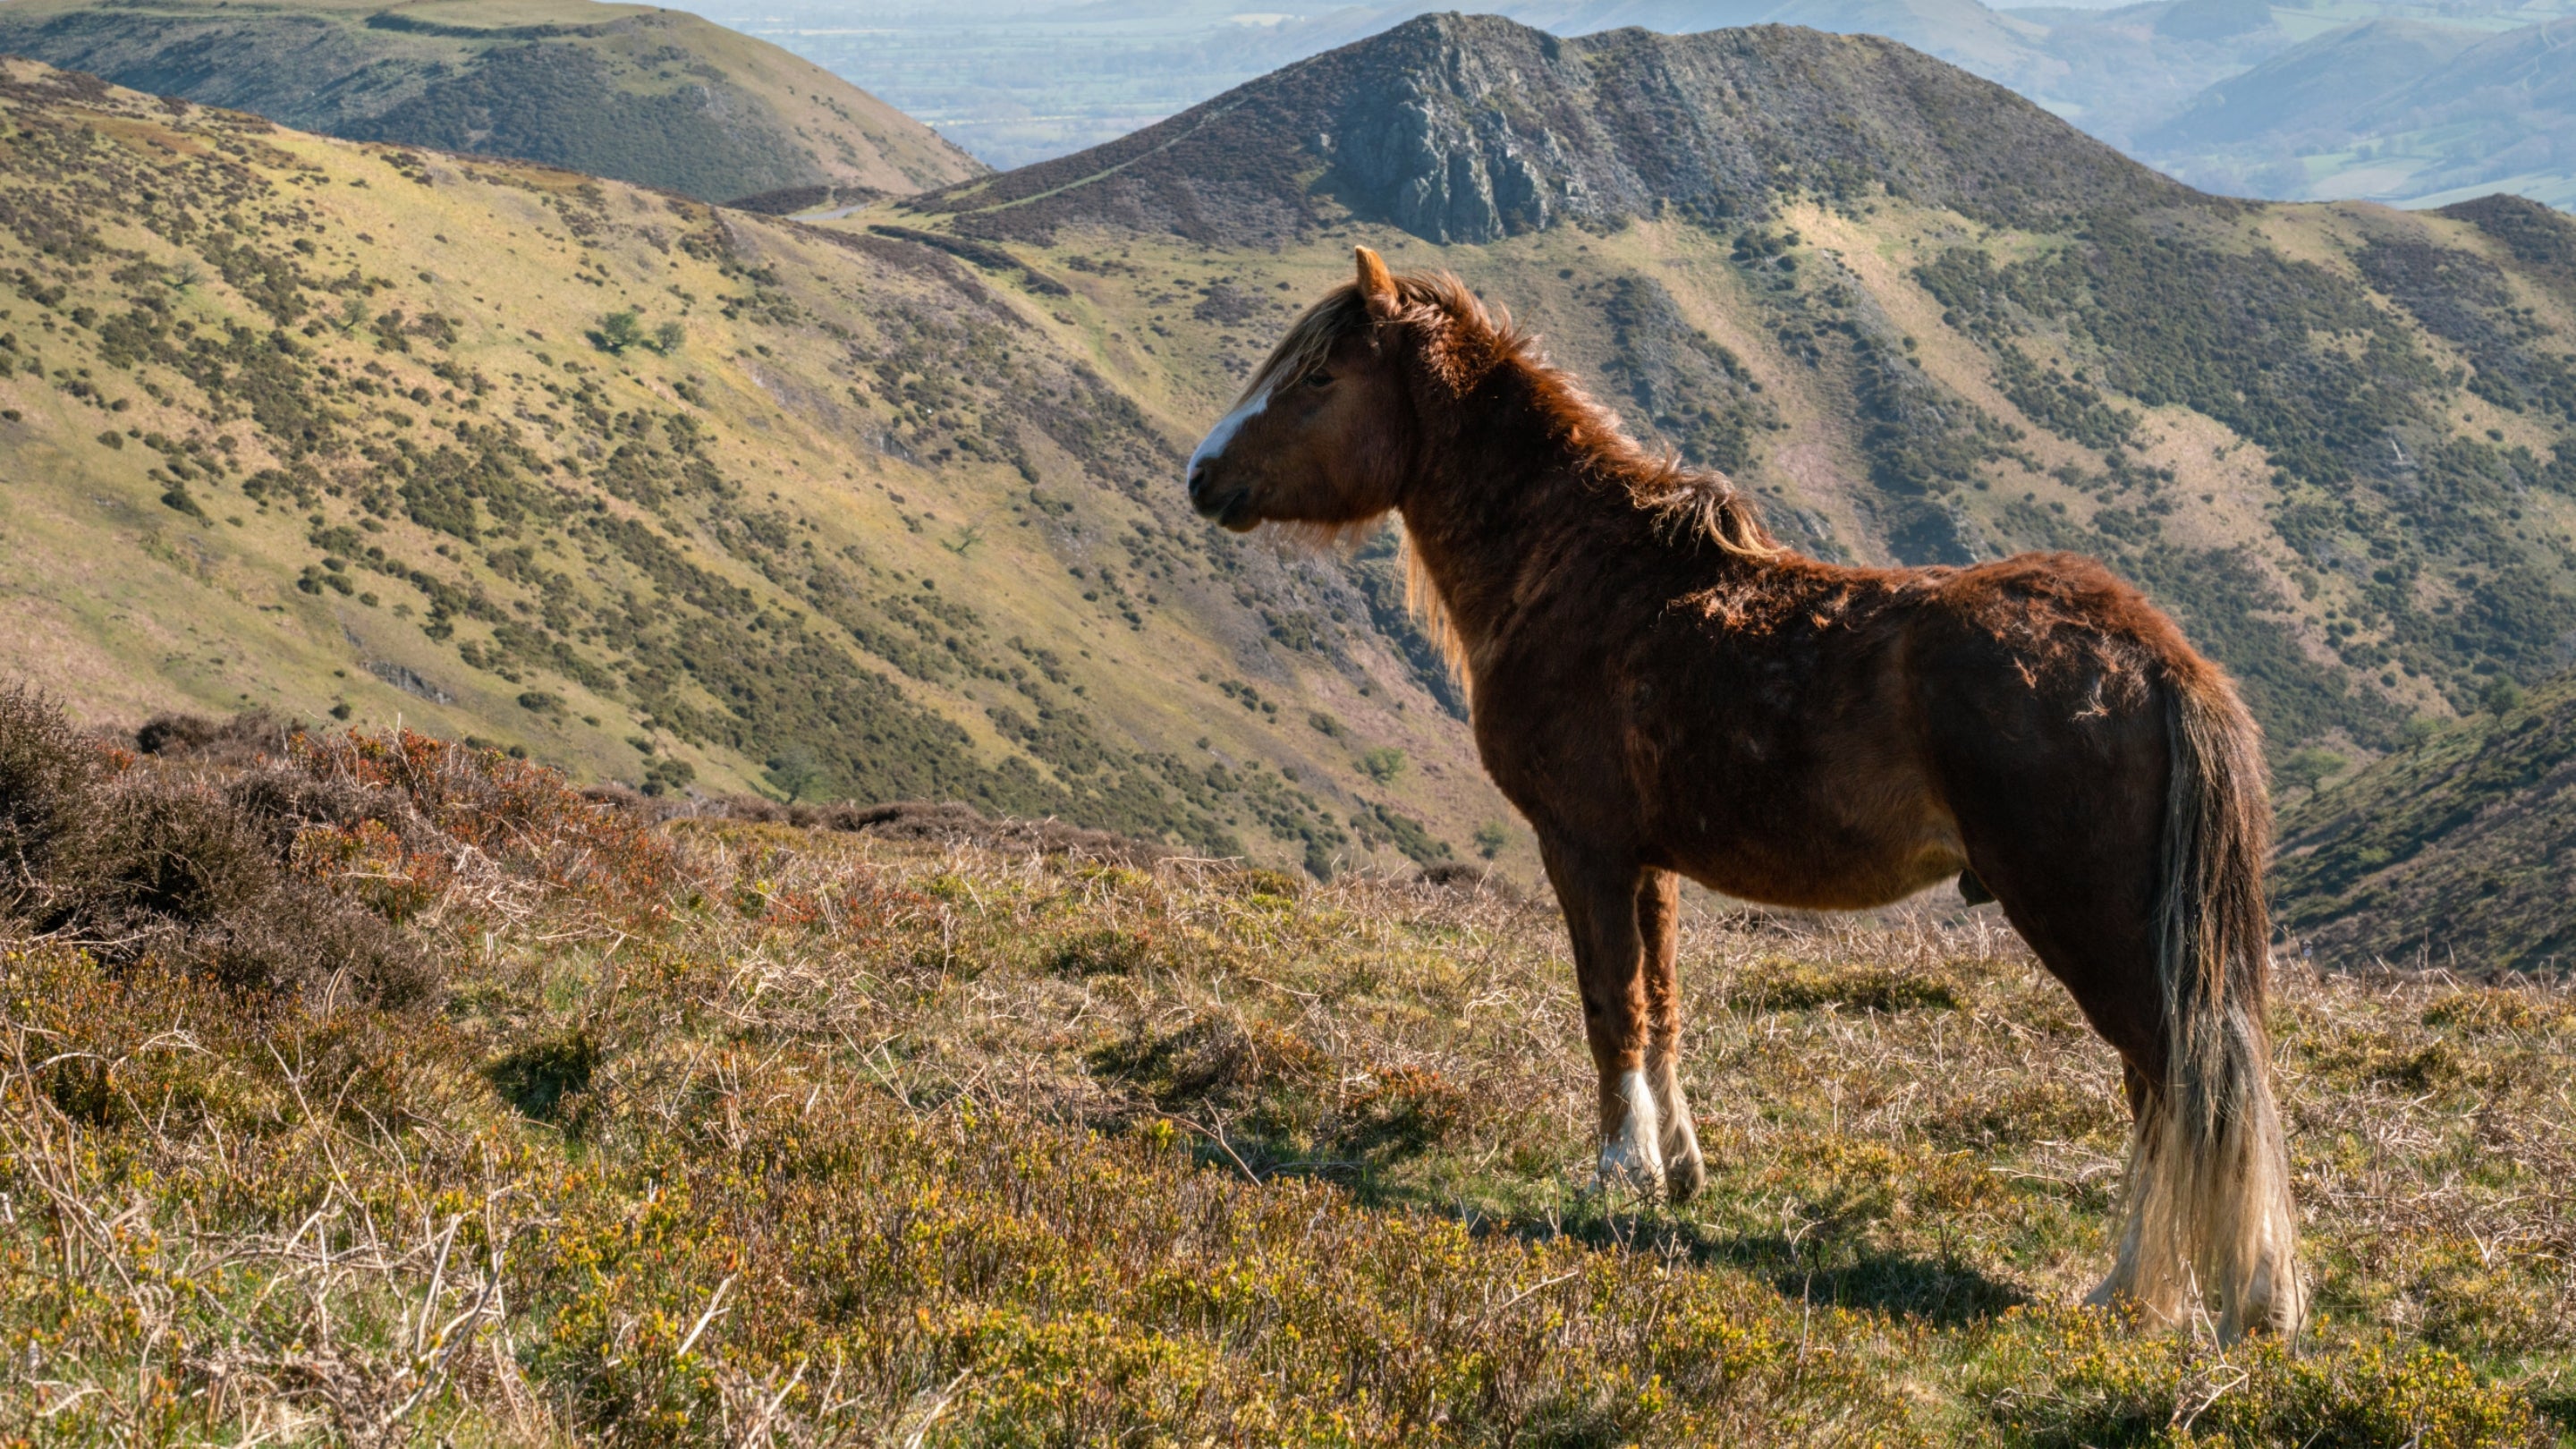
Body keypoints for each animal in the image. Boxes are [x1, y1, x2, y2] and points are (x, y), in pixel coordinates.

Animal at [1183, 246, 2302, 1339]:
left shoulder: (1582, 848)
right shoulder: (1650, 865)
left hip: (2092, 926)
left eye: (1319, 378)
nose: (1201, 476)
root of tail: (2155, 660)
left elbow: (1610, 1007)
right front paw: (1677, 1170)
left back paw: (2160, 1291)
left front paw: (1618, 1174)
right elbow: (1663, 1007)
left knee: (2176, 1085)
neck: (1583, 575)